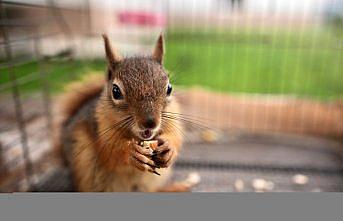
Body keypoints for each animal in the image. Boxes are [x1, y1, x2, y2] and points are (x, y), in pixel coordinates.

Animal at [54, 34, 200, 192]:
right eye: (115, 91)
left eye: (169, 88)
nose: (150, 122)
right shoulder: (100, 126)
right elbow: (110, 151)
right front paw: (130, 152)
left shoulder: (172, 119)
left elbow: (175, 137)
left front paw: (169, 147)